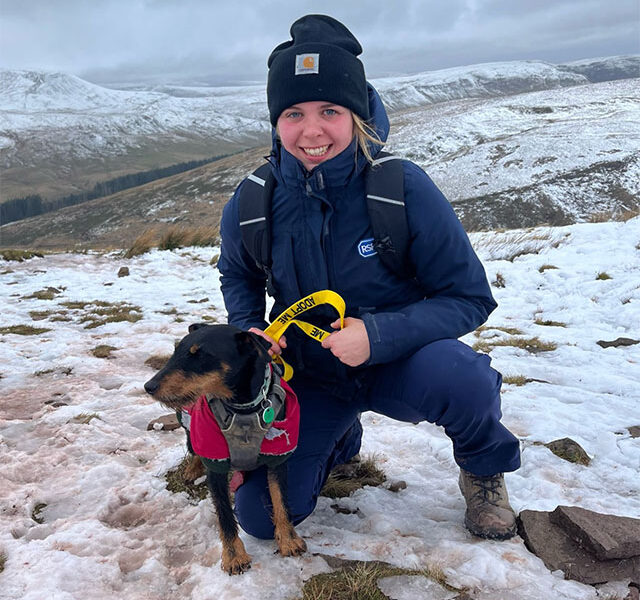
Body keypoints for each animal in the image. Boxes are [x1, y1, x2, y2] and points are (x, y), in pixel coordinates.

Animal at [146, 326, 306, 576]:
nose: (149, 386)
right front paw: (234, 556)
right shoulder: (216, 465)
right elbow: (225, 515)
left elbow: (282, 502)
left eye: (200, 355)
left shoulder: (278, 459)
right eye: (175, 350)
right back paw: (192, 469)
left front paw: (289, 539)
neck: (244, 409)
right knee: (193, 447)